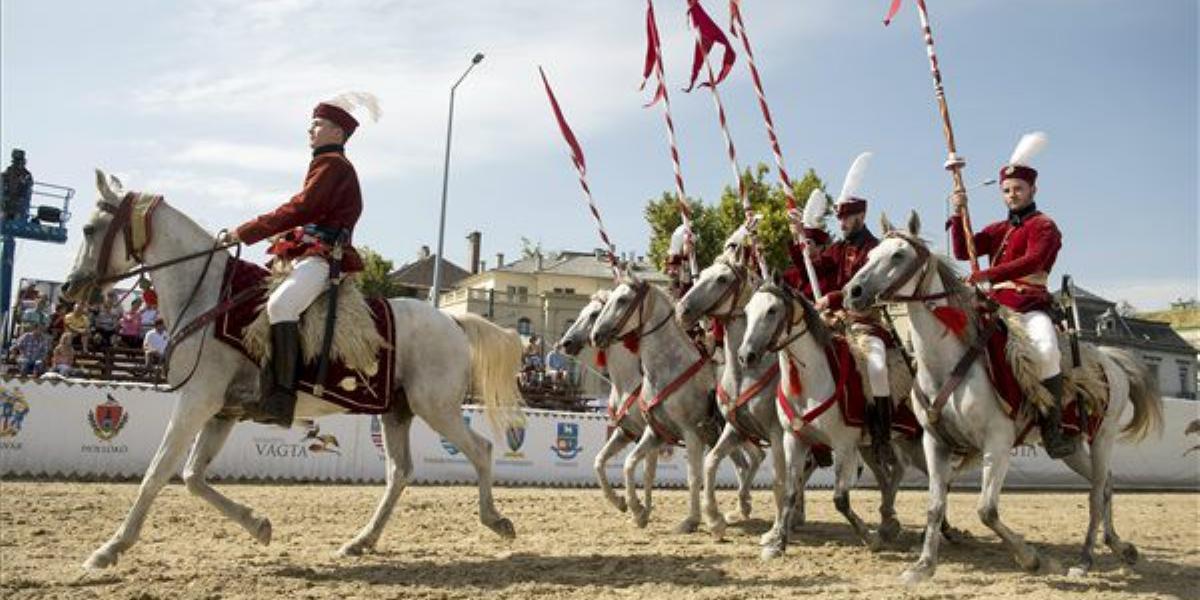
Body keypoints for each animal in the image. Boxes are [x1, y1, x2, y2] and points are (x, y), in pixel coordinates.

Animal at [59, 171, 520, 568]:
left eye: (88, 230)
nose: (68, 288)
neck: (208, 295)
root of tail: (453, 321)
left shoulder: (197, 401)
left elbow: (158, 472)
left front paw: (110, 548)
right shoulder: (222, 412)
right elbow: (192, 476)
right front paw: (258, 525)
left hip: (435, 408)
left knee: (481, 450)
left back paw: (496, 521)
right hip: (397, 412)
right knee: (399, 472)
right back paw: (361, 541)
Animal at [590, 274, 758, 532]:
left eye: (622, 300)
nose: (596, 335)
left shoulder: (691, 434)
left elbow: (693, 476)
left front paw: (691, 520)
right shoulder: (653, 433)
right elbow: (629, 464)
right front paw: (635, 509)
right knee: (746, 463)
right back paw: (741, 507)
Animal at [844, 213, 1161, 583]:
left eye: (898, 255)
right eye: (869, 255)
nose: (852, 293)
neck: (948, 364)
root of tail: (1108, 359)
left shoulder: (997, 442)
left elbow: (987, 510)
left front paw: (1033, 559)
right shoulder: (936, 443)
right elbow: (935, 505)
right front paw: (923, 566)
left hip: (1103, 438)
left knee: (1097, 492)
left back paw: (1085, 559)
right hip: (1071, 448)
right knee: (1106, 484)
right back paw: (1117, 547)